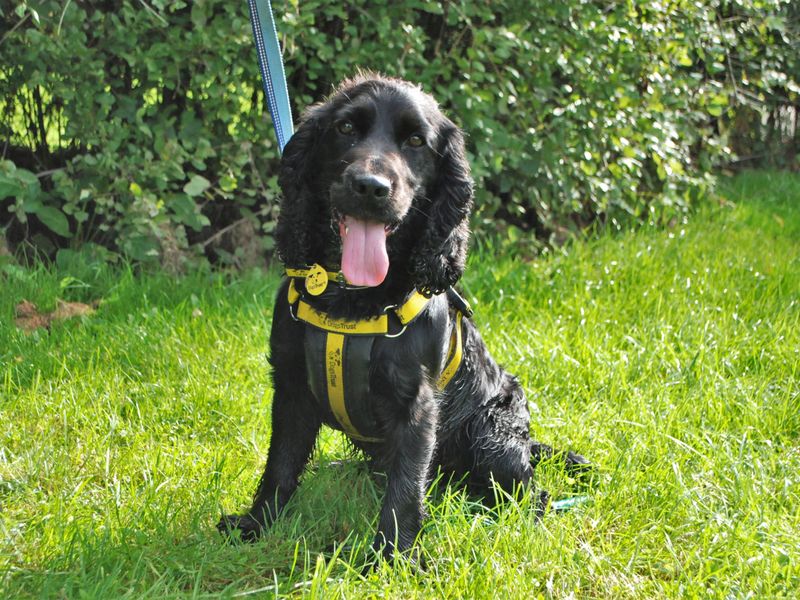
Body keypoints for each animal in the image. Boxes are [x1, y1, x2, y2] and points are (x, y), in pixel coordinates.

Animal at [219, 76, 588, 564]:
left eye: (416, 142)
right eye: (345, 128)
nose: (370, 187)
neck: (353, 299)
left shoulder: (416, 404)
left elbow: (406, 487)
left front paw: (393, 558)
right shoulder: (292, 386)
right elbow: (280, 463)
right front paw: (256, 524)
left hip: (493, 433)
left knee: (530, 494)